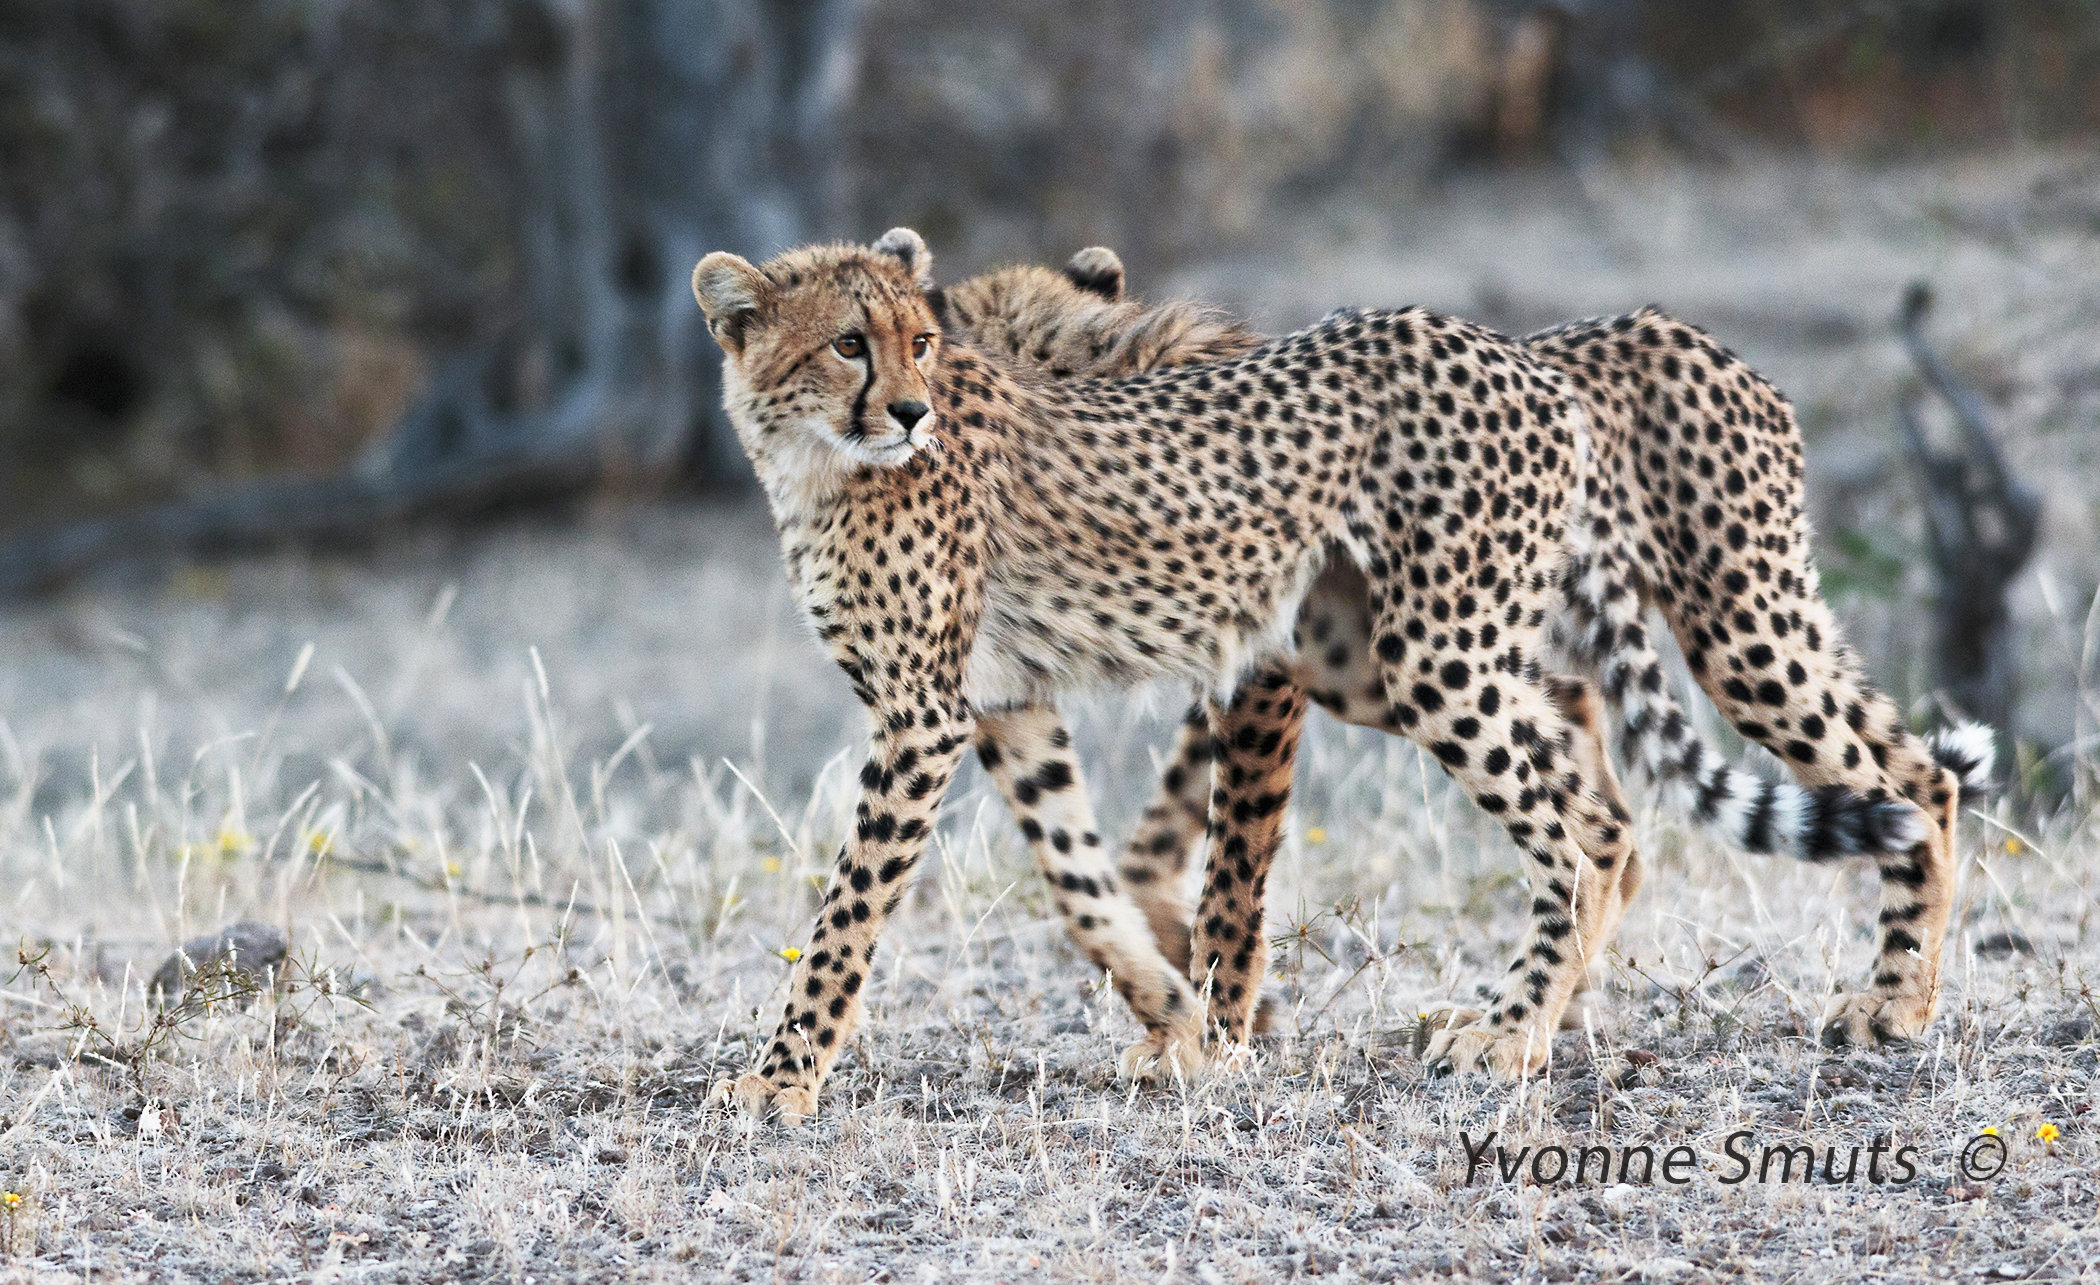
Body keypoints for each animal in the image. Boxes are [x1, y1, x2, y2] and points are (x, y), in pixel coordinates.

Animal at [944, 248, 1990, 1054]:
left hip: (1727, 624)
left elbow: (1232, 860)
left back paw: (1889, 1002)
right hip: (1456, 651)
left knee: (1890, 780)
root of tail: (1676, 330)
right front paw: (1183, 992)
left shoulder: (1263, 670)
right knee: (1858, 778)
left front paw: (1221, 1017)